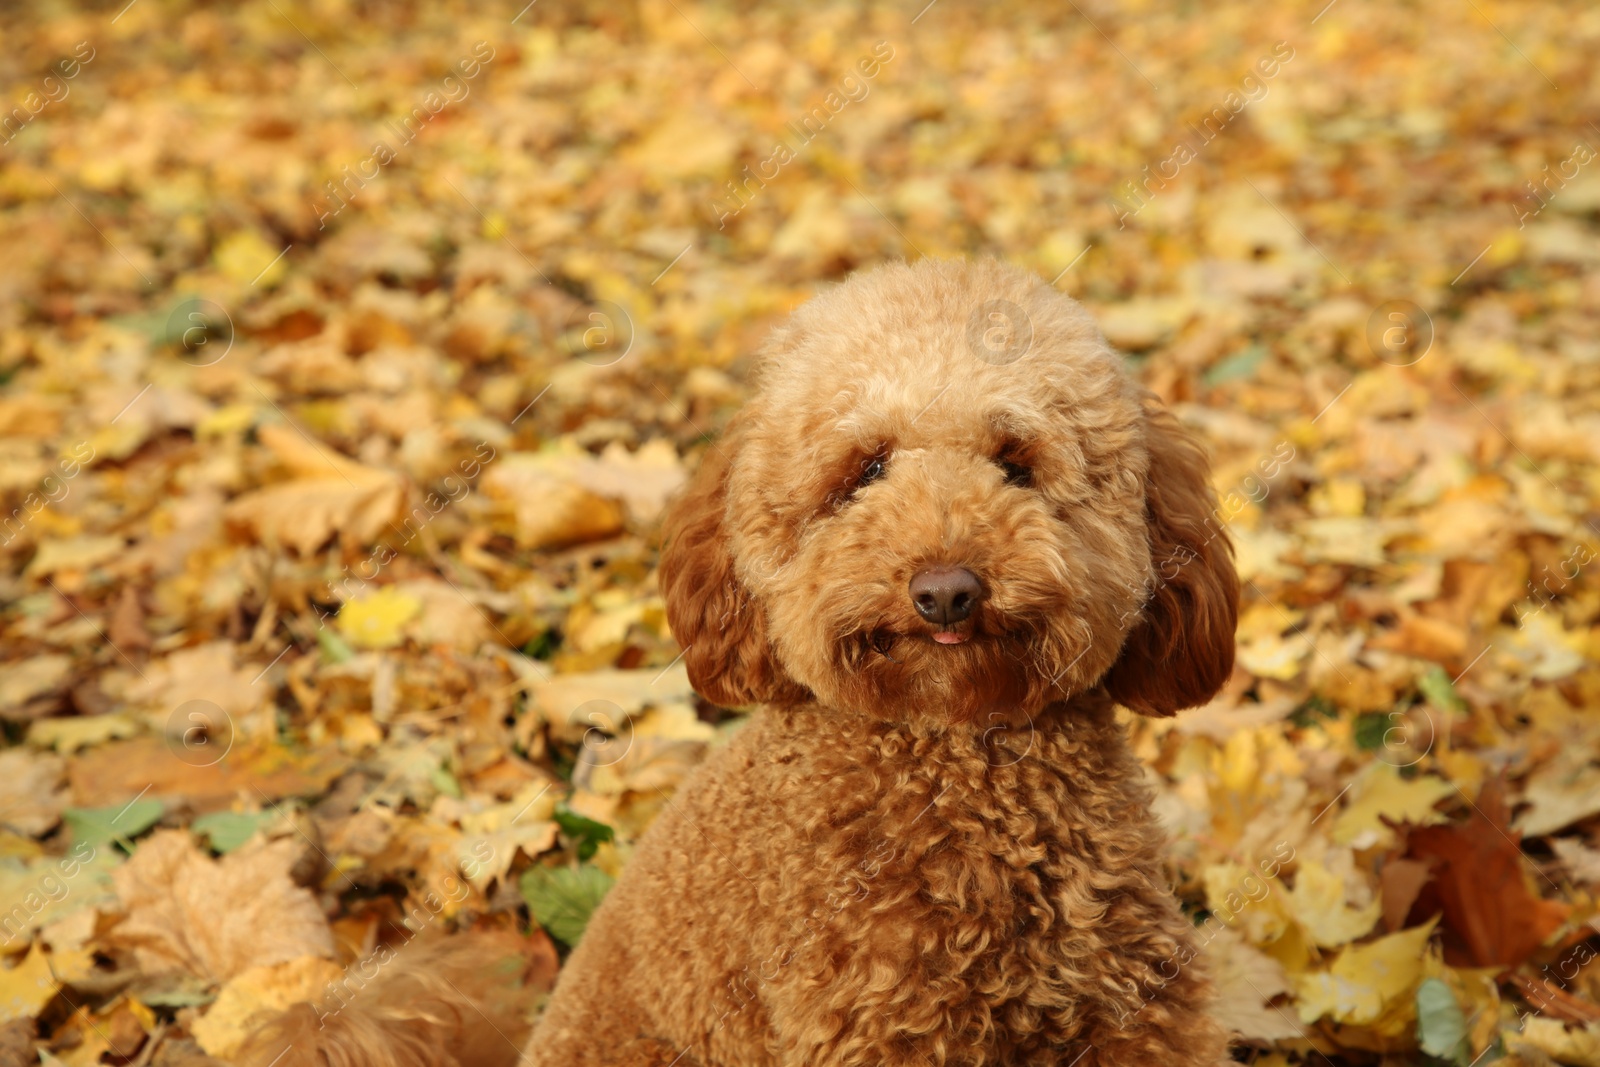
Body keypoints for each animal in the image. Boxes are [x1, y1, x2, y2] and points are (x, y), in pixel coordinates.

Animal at [518, 260, 1241, 1067]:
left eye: (1016, 464)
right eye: (866, 469)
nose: (947, 591)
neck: (959, 759)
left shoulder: (1134, 1002)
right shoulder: (873, 1026)